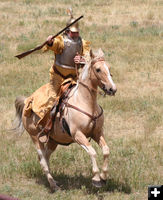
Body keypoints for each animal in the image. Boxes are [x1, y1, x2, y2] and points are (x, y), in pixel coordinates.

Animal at [13, 48, 116, 191]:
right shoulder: (78, 135)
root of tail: (27, 101)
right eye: (98, 69)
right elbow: (92, 152)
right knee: (42, 160)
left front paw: (104, 176)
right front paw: (96, 179)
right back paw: (53, 185)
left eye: (109, 67)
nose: (112, 89)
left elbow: (106, 151)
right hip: (35, 138)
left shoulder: (97, 133)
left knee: (46, 157)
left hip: (53, 140)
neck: (85, 102)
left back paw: (54, 182)